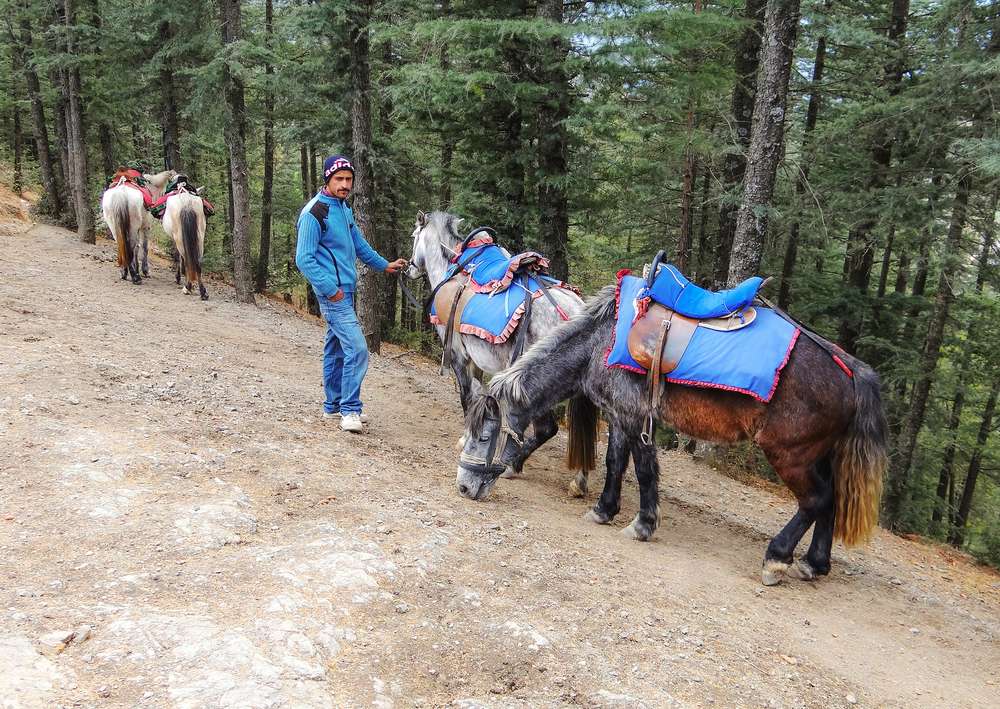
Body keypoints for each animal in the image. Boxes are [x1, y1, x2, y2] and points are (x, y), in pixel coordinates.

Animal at [405, 210, 593, 492]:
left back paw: (513, 465)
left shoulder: (459, 357)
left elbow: (467, 397)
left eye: (414, 236)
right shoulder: (477, 361)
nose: (409, 268)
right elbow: (477, 396)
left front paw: (465, 439)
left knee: (546, 428)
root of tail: (573, 312)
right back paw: (579, 480)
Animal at [455, 284, 888, 586]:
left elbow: (643, 471)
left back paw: (777, 558)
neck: (601, 342)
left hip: (790, 454)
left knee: (815, 500)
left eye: (484, 436)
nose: (463, 487)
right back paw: (814, 564)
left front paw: (643, 524)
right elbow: (615, 463)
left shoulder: (635, 417)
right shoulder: (620, 417)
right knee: (831, 500)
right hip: (819, 454)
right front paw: (604, 509)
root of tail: (849, 369)